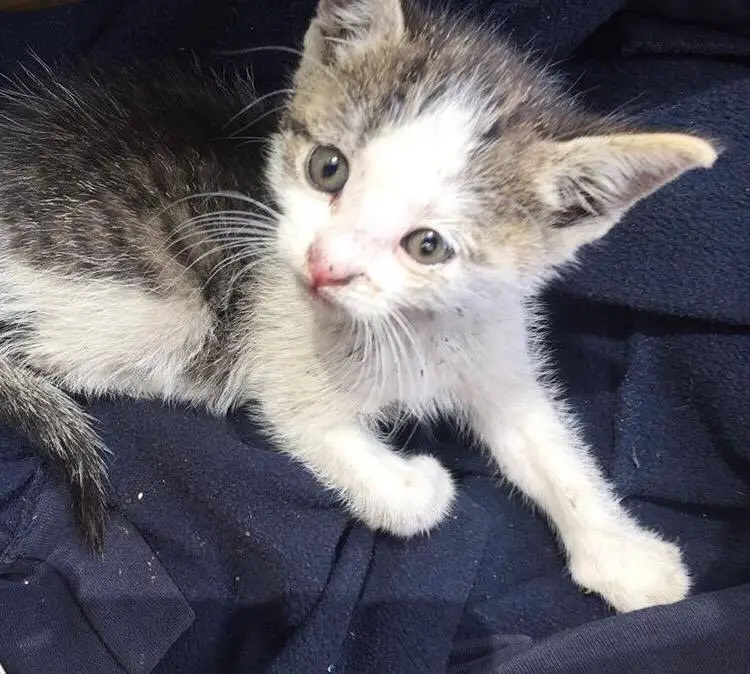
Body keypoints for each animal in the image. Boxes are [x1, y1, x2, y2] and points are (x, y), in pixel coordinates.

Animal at [0, 0, 720, 612]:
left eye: (428, 245)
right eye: (328, 167)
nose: (326, 267)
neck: (410, 330)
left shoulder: (494, 348)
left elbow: (551, 446)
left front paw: (624, 555)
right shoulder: (274, 355)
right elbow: (331, 442)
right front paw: (415, 486)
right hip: (157, 310)